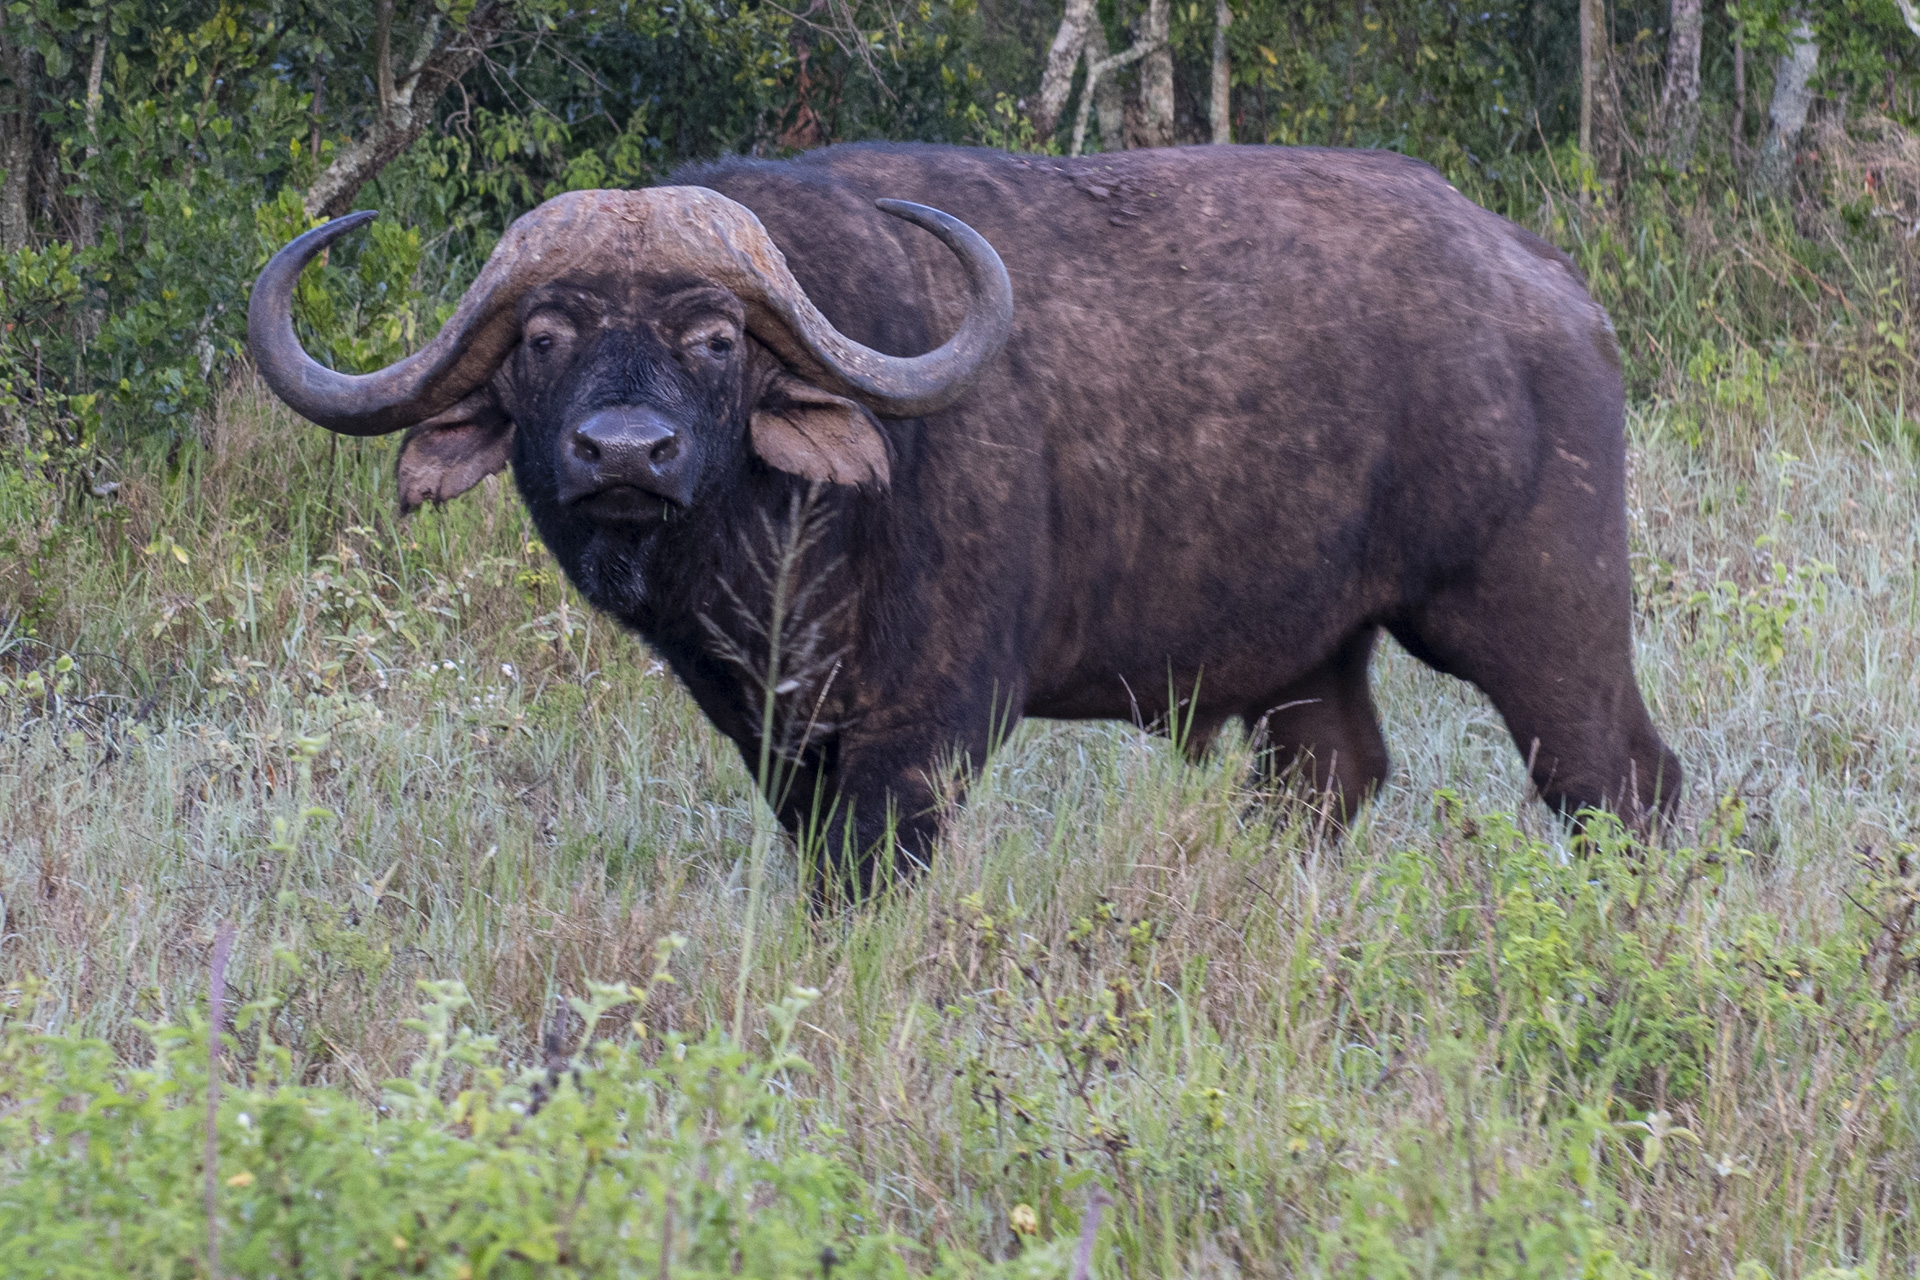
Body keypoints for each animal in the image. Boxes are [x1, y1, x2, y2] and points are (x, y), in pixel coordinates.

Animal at [250, 142, 1681, 897]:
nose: (625, 452)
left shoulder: (930, 724)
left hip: (1539, 611)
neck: (787, 537)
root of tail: (1550, 285)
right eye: (545, 336)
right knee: (1331, 778)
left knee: (1620, 778)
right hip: (1306, 662)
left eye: (715, 338)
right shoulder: (778, 736)